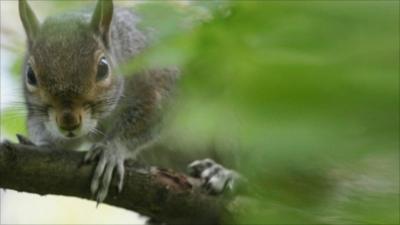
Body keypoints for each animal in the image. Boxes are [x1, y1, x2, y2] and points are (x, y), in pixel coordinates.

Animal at [18, 0, 238, 204]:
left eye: (103, 68)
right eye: (30, 75)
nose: (68, 122)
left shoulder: (158, 86)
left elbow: (145, 120)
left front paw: (111, 150)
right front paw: (42, 143)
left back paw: (224, 173)